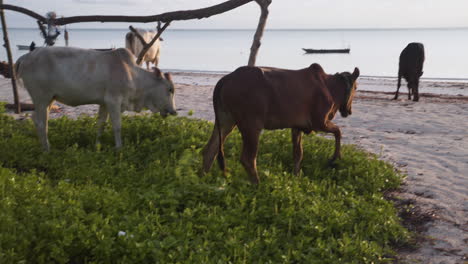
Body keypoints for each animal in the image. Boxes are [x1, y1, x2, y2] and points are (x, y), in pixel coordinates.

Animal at [15, 46, 176, 150]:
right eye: (170, 89)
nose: (174, 111)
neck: (133, 75)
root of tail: (26, 57)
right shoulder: (114, 101)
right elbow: (117, 126)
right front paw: (119, 148)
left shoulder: (104, 103)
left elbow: (101, 124)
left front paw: (97, 145)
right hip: (42, 98)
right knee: (42, 122)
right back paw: (47, 149)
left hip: (49, 99)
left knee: (36, 118)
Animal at [203, 64, 360, 184]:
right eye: (356, 88)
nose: (349, 111)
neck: (331, 87)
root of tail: (226, 79)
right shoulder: (319, 122)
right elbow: (338, 131)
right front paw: (335, 157)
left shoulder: (297, 127)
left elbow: (298, 154)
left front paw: (296, 176)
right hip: (251, 125)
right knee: (248, 159)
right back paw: (258, 185)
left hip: (226, 120)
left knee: (211, 149)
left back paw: (203, 179)